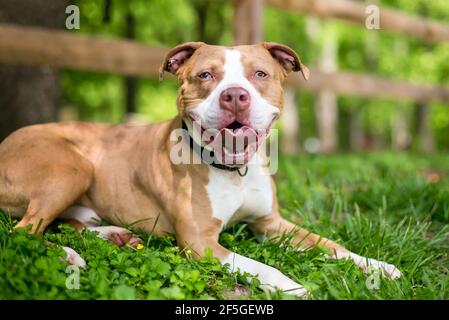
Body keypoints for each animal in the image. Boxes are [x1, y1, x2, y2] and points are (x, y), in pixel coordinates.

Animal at [0, 41, 400, 296]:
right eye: (205, 76)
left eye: (260, 74)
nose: (235, 94)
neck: (232, 170)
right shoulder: (200, 243)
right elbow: (258, 265)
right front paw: (291, 285)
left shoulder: (271, 224)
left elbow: (331, 245)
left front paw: (378, 266)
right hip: (73, 166)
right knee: (24, 231)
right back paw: (67, 256)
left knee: (67, 223)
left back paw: (114, 235)